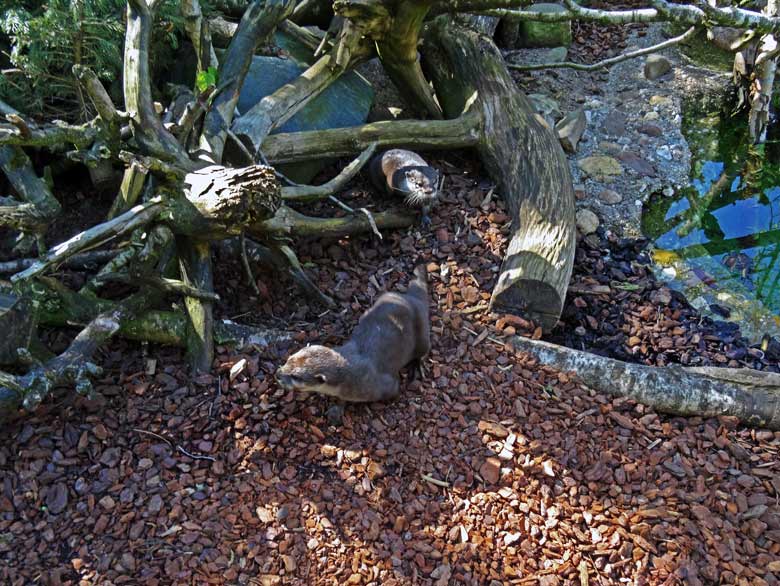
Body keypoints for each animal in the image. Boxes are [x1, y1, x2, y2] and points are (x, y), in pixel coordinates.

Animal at [276, 264, 432, 402]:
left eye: (296, 376)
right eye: (288, 359)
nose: (278, 374)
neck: (351, 377)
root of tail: (412, 299)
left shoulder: (382, 384)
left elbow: (394, 390)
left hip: (422, 333)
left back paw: (418, 367)